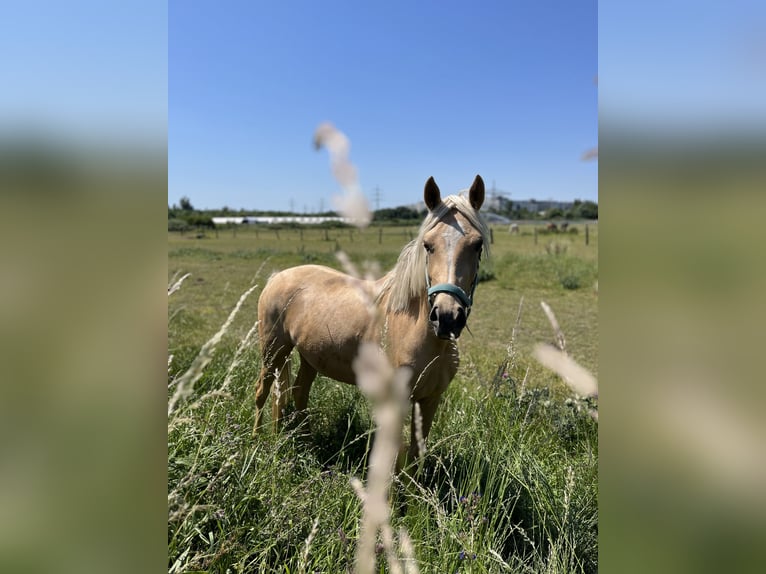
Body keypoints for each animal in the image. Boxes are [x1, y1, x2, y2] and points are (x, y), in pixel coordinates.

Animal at [254, 176, 492, 464]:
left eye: (477, 245)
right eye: (427, 245)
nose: (446, 317)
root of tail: (277, 277)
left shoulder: (430, 400)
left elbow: (415, 457)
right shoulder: (395, 402)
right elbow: (394, 459)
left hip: (308, 356)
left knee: (299, 393)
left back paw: (305, 444)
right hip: (273, 351)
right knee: (263, 392)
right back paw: (257, 441)